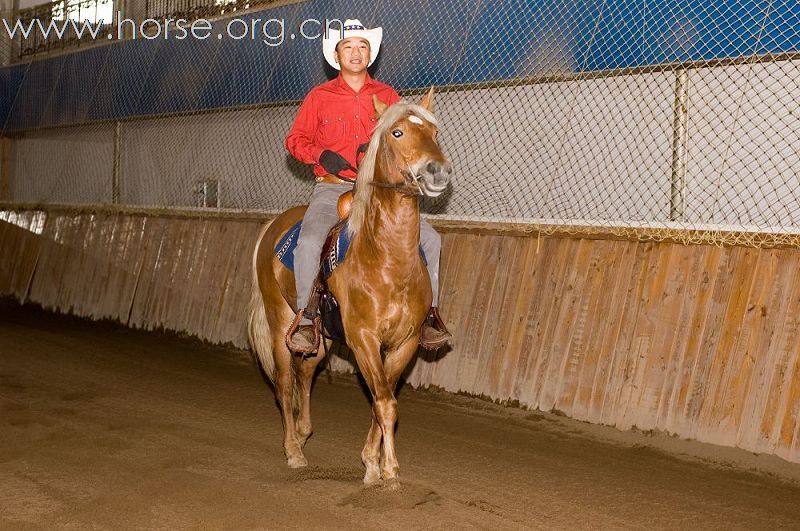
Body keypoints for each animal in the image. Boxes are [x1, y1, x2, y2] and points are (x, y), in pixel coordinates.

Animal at [247, 90, 450, 486]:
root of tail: (274, 225)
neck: (386, 258)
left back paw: (304, 432)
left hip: (320, 335)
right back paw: (293, 450)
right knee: (284, 382)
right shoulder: (363, 338)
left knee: (305, 373)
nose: (438, 171)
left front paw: (371, 461)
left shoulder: (404, 343)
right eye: (397, 132)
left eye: (434, 131)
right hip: (280, 322)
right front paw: (389, 470)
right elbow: (384, 402)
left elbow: (382, 400)